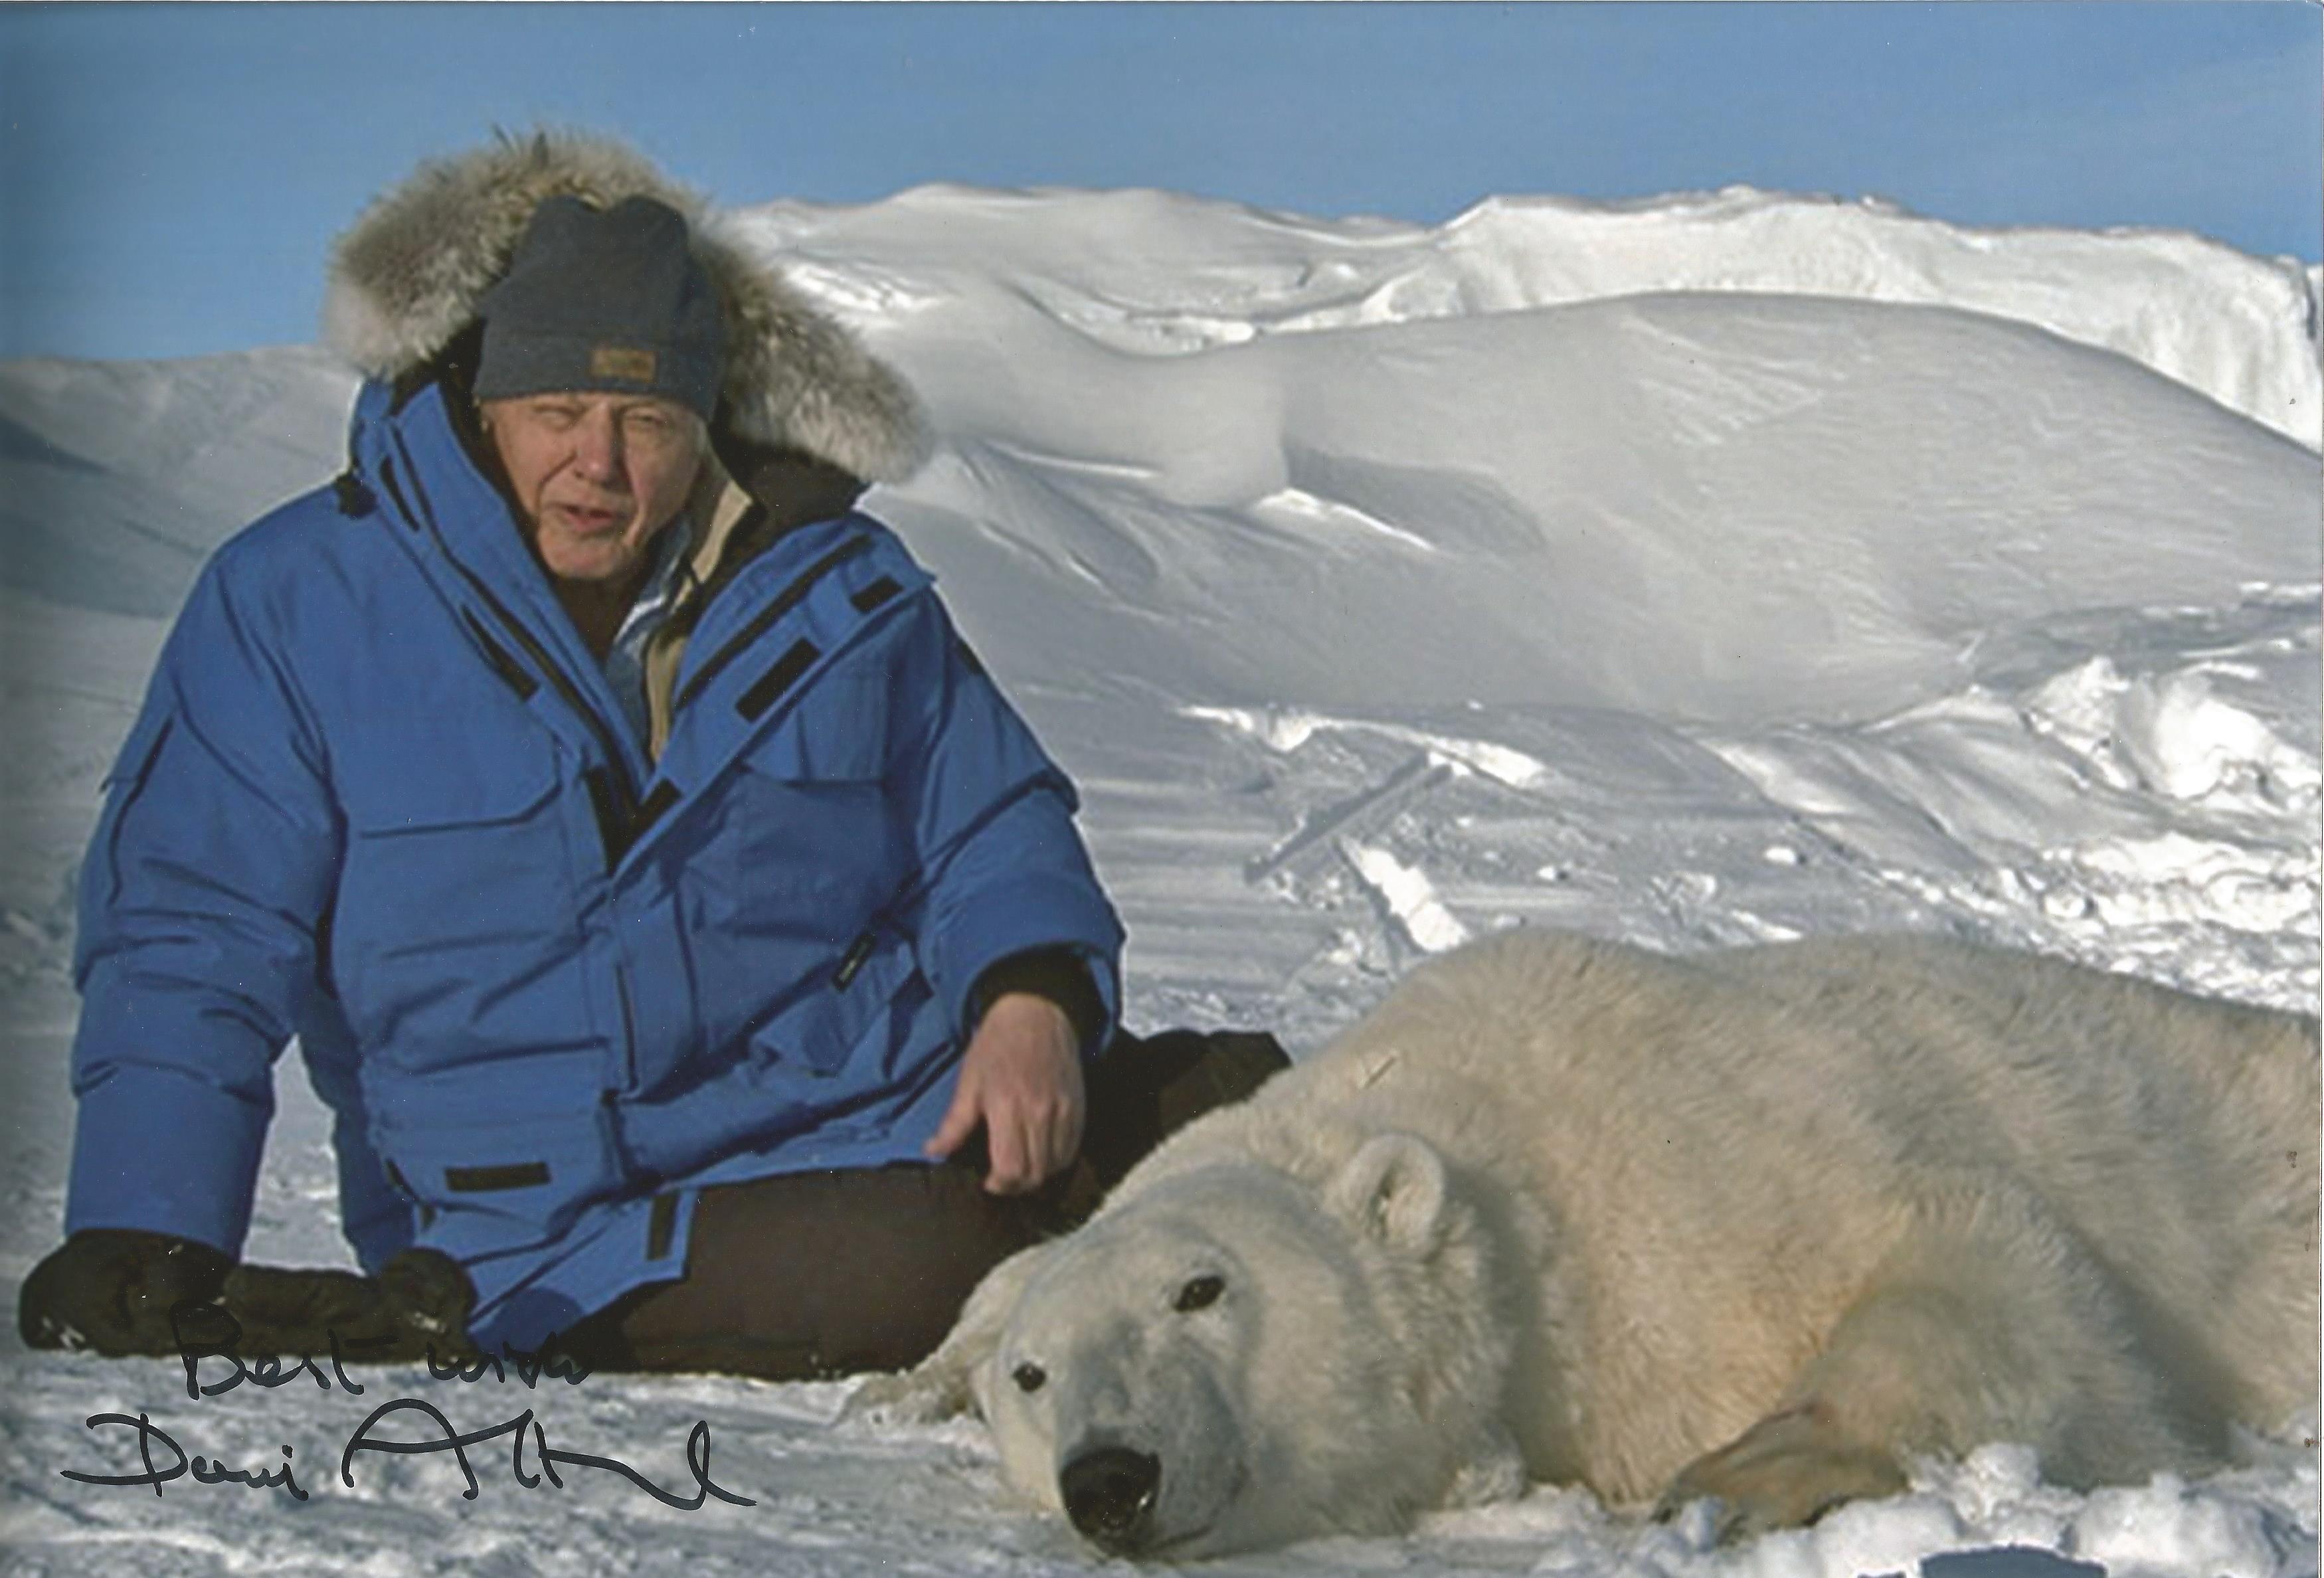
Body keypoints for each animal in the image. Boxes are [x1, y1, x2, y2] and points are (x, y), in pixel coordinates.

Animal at [859, 934, 2324, 1561]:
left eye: (1200, 1288)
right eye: (1033, 1378)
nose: (1109, 1478)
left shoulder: (1718, 1164)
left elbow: (2000, 1267)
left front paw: (1749, 1465)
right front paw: (902, 1381)